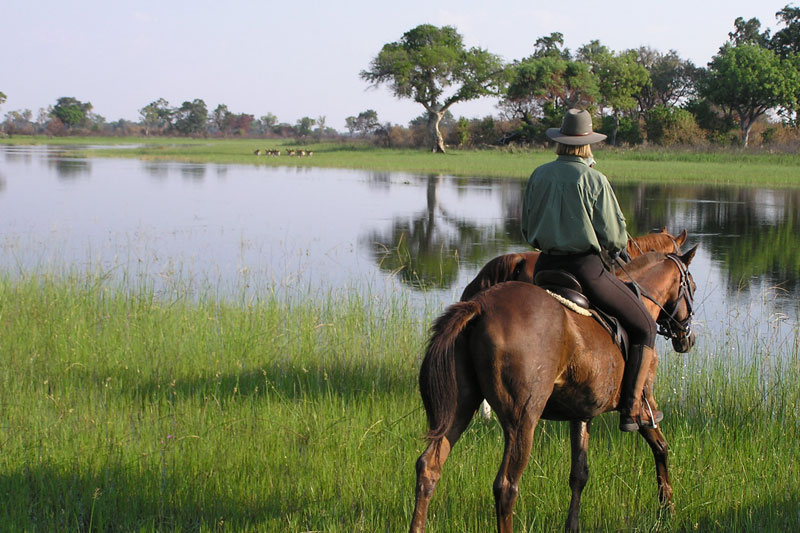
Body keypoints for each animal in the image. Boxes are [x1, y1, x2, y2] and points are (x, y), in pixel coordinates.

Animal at [410, 247, 698, 533]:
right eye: (692, 287)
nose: (687, 338)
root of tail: (480, 306)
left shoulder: (581, 415)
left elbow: (579, 474)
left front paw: (572, 525)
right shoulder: (642, 407)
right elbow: (661, 447)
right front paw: (667, 509)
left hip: (461, 407)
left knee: (429, 467)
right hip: (523, 421)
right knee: (506, 486)